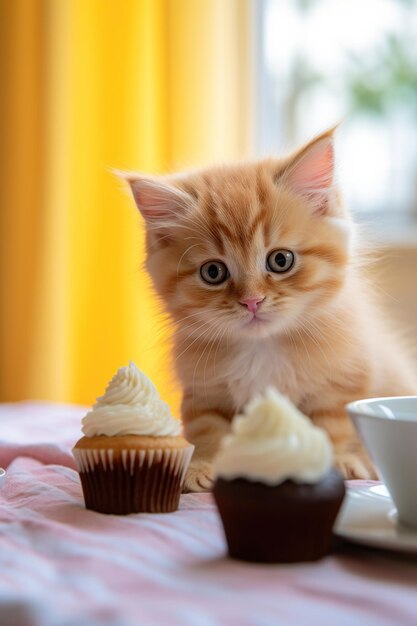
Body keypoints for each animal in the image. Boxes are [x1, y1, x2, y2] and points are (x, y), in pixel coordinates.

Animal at [126, 129, 416, 490]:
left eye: (280, 260)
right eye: (213, 272)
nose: (252, 301)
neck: (261, 348)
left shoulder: (344, 382)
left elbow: (333, 426)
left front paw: (341, 461)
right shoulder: (204, 392)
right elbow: (207, 428)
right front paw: (204, 466)